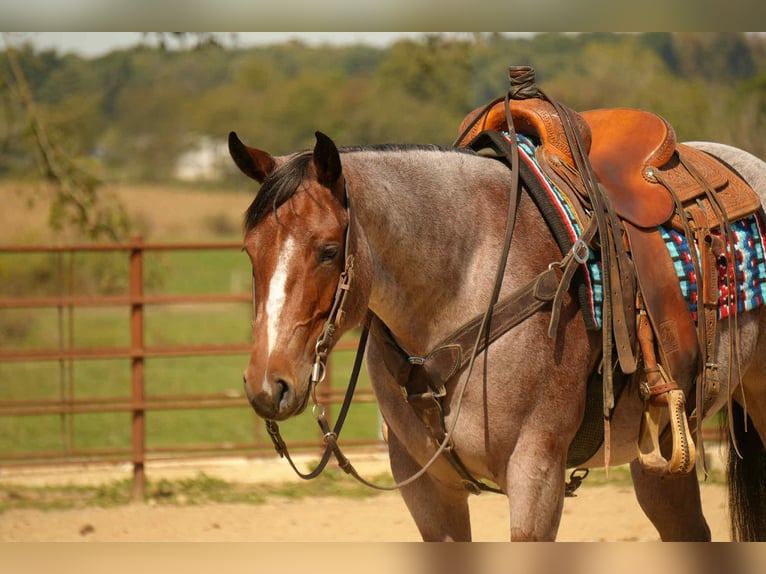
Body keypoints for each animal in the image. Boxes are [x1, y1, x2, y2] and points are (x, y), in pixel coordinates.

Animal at [229, 127, 766, 541]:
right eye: (249, 251)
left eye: (326, 251)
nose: (268, 385)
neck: (466, 278)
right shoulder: (425, 488)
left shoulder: (536, 475)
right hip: (663, 449)